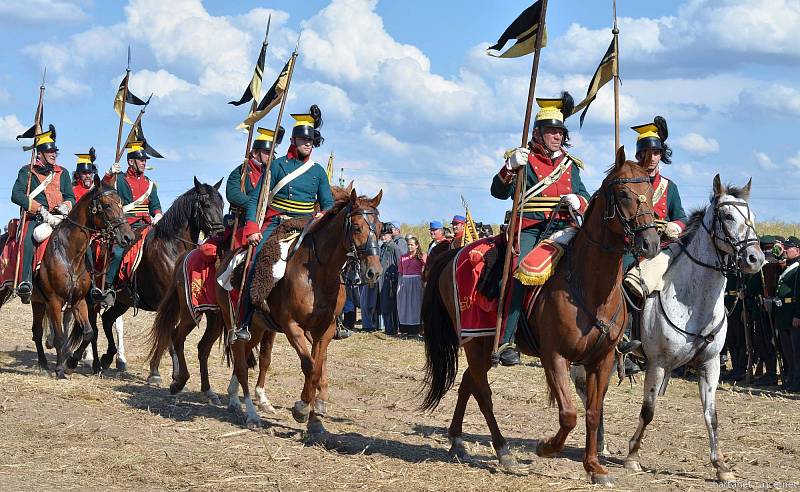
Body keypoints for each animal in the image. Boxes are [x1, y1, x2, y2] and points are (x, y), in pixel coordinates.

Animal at [0, 176, 134, 376]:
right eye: (106, 205)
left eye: (121, 203)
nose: (128, 237)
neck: (70, 255)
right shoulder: (55, 301)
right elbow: (61, 337)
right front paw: (60, 368)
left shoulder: (79, 301)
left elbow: (88, 333)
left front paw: (72, 360)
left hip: (37, 301)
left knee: (37, 332)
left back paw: (43, 364)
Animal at [416, 148, 660, 486]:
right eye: (623, 193)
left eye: (649, 189)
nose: (651, 243)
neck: (589, 287)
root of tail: (454, 252)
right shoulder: (554, 356)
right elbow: (569, 414)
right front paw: (546, 447)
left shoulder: (603, 359)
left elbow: (593, 413)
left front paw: (594, 467)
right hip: (475, 341)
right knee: (483, 393)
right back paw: (503, 451)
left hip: (482, 345)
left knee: (468, 384)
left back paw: (457, 441)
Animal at [620, 175, 764, 482]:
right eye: (728, 216)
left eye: (753, 217)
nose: (755, 259)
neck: (693, 302)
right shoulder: (658, 364)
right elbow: (648, 410)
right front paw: (632, 455)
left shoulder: (710, 364)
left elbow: (712, 415)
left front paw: (721, 467)